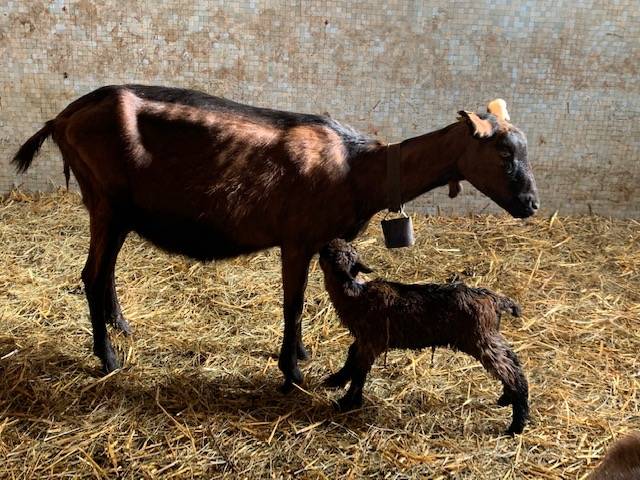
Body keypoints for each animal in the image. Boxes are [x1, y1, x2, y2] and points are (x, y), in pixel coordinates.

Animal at [12, 85, 536, 390]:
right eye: (503, 152)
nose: (530, 204)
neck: (356, 167)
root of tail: (62, 119)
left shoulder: (321, 239)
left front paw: (299, 353)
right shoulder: (297, 238)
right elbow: (294, 303)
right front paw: (292, 371)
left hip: (113, 210)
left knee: (105, 271)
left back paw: (120, 327)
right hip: (107, 201)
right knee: (91, 274)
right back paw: (107, 358)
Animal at [318, 240, 528, 436]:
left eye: (329, 253)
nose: (322, 245)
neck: (356, 294)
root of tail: (496, 300)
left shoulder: (371, 340)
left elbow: (359, 370)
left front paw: (346, 402)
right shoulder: (363, 339)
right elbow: (351, 357)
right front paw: (335, 380)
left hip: (480, 339)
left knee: (511, 372)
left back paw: (516, 424)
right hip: (489, 336)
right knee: (512, 361)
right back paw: (506, 399)